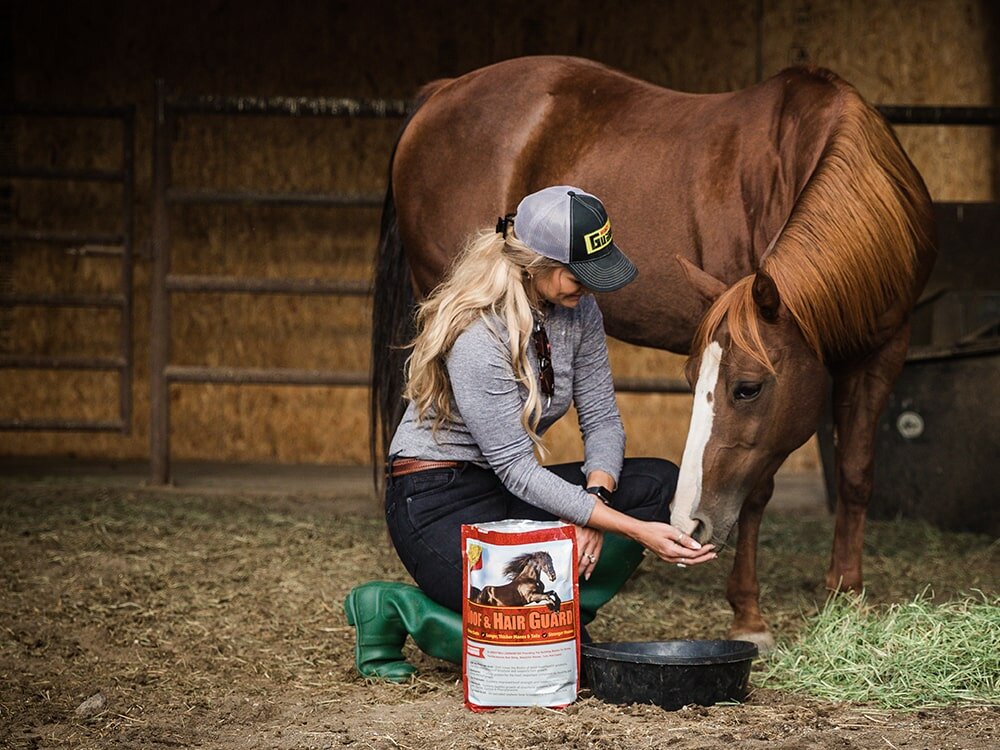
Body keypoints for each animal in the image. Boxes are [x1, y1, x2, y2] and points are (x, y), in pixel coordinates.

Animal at [371, 56, 936, 651]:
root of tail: (443, 93)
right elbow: (757, 492)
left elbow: (856, 474)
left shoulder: (881, 353)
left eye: (748, 387)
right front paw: (749, 615)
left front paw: (847, 596)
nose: (688, 522)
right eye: (692, 381)